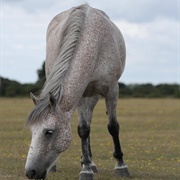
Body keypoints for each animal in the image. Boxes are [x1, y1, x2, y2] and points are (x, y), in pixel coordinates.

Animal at [24, 3, 130, 179]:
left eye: (49, 132)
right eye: (32, 131)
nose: (30, 172)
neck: (95, 44)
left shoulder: (112, 90)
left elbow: (113, 126)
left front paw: (121, 165)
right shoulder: (79, 94)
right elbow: (83, 129)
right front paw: (86, 168)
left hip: (93, 96)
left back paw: (92, 162)